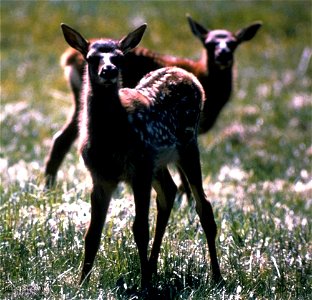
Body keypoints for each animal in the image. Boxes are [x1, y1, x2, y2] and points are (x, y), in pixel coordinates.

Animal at [45, 17, 260, 198]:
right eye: (209, 43)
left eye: (233, 43)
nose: (223, 54)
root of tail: (69, 57)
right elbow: (182, 176)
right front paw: (187, 201)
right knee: (62, 139)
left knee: (60, 138)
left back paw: (48, 187)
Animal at [59, 22, 223, 286]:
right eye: (91, 57)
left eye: (119, 57)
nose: (109, 70)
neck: (112, 138)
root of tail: (187, 74)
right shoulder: (101, 177)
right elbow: (92, 234)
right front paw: (81, 283)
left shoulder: (139, 170)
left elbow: (140, 230)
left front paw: (145, 285)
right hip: (158, 161)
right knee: (169, 191)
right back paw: (154, 267)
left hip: (187, 145)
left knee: (204, 206)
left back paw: (216, 276)